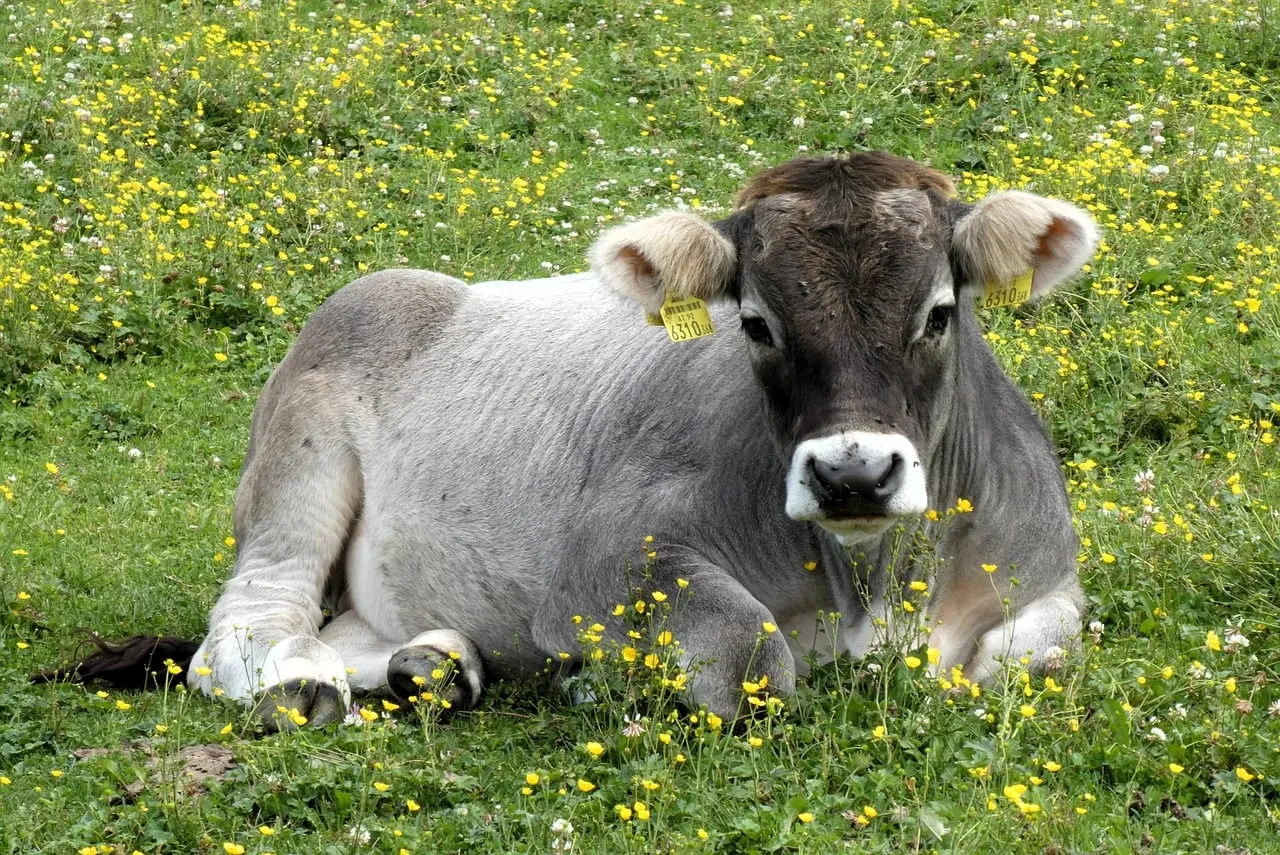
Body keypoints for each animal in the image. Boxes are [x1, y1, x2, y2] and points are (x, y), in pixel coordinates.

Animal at [40, 152, 1097, 729]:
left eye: (939, 313)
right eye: (756, 323)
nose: (852, 473)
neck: (877, 584)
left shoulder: (1051, 575)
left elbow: (1031, 658)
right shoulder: (604, 566)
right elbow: (756, 656)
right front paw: (605, 684)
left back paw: (436, 665)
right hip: (298, 468)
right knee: (251, 621)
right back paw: (305, 683)